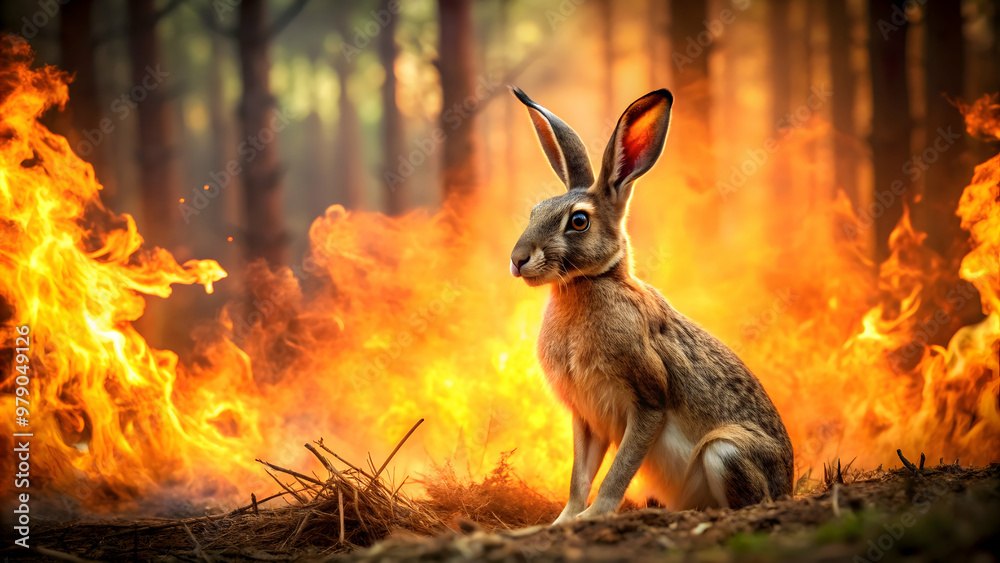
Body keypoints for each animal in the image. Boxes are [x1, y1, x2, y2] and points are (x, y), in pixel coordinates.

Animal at [508, 86, 794, 524]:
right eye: (535, 212)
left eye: (578, 221)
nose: (518, 259)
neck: (590, 283)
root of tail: (788, 486)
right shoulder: (586, 418)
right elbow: (579, 479)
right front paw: (563, 521)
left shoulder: (648, 400)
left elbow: (618, 472)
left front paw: (594, 517)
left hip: (725, 451)